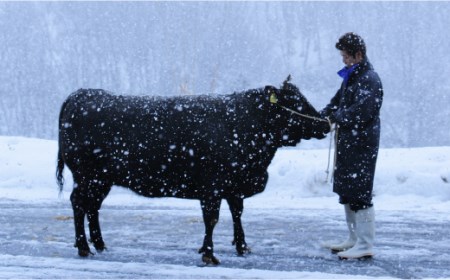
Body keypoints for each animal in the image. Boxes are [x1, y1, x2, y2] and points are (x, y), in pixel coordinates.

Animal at [56, 77, 330, 264]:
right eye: (294, 102)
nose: (326, 123)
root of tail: (81, 93)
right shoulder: (213, 186)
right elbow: (212, 219)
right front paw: (209, 254)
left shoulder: (234, 186)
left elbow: (237, 214)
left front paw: (242, 246)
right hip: (86, 176)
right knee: (79, 204)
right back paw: (83, 247)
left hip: (102, 179)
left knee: (93, 207)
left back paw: (100, 245)